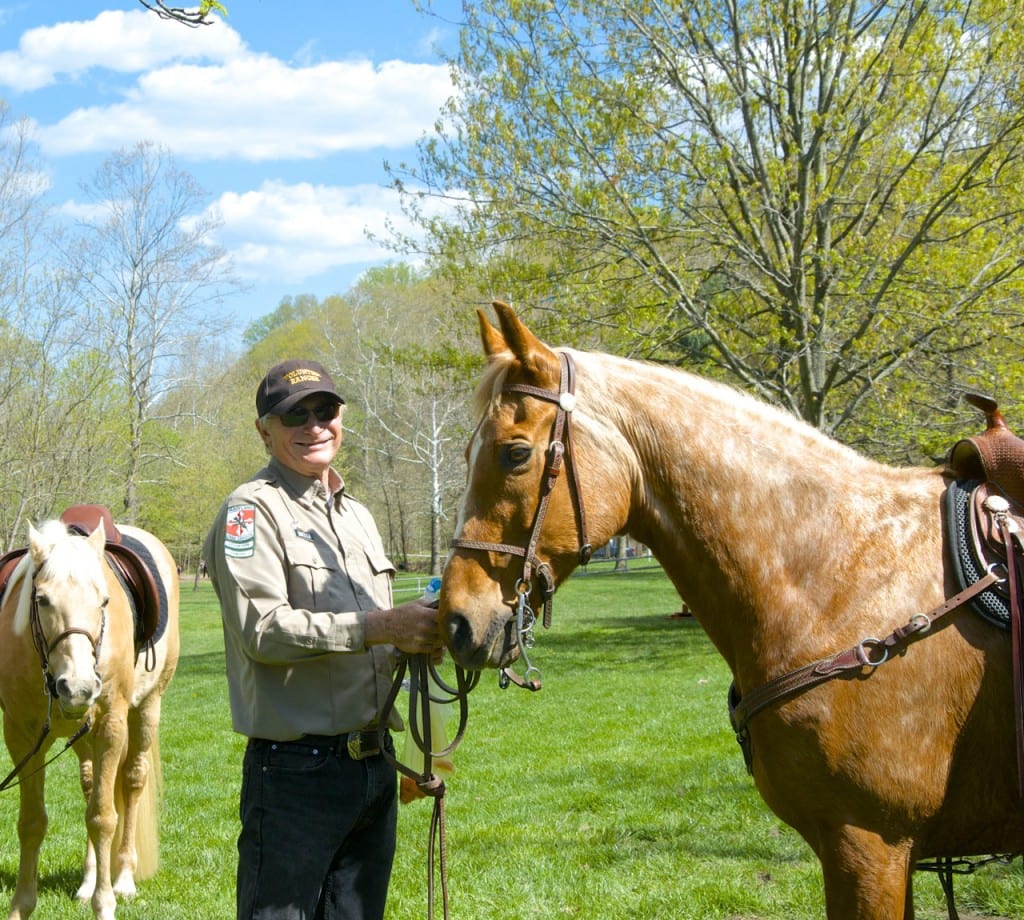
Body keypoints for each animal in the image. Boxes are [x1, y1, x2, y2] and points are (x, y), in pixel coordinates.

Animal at [0, 516, 179, 917]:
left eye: (104, 601)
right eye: (41, 599)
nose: (78, 687)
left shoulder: (110, 725)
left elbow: (103, 818)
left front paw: (105, 903)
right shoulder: (21, 735)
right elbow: (32, 822)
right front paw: (21, 905)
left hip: (147, 710)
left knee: (131, 783)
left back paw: (123, 878)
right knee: (90, 786)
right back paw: (87, 881)